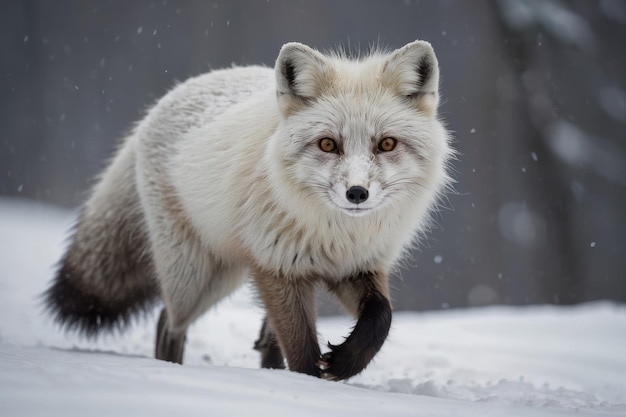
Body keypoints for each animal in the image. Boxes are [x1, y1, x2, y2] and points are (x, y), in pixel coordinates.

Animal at [45, 39, 454, 380]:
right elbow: (302, 350)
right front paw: (311, 386)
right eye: (327, 144)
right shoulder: (278, 269)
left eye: (386, 144)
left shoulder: (358, 265)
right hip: (197, 275)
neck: (334, 233)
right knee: (168, 322)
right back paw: (171, 371)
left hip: (227, 274)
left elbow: (381, 318)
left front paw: (344, 362)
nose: (357, 193)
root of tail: (164, 100)